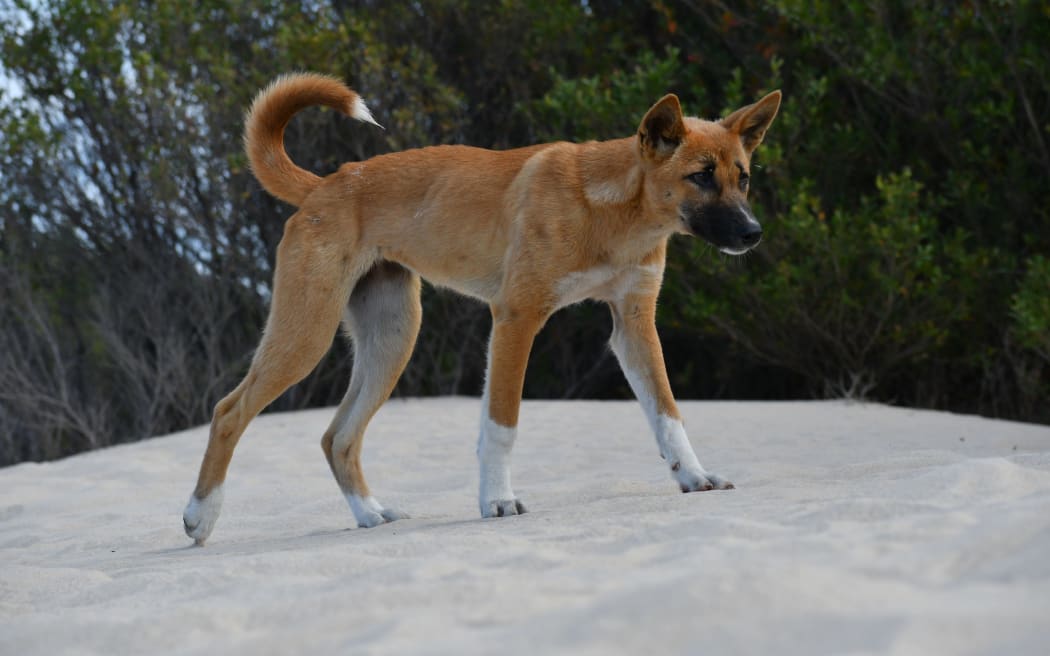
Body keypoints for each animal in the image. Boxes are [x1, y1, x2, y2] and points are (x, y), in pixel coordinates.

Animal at [182, 72, 781, 541]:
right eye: (700, 176)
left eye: (744, 178)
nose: (753, 235)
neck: (610, 208)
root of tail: (323, 185)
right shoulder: (516, 318)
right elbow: (502, 424)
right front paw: (497, 501)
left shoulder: (634, 325)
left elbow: (667, 414)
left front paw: (693, 477)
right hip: (307, 333)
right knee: (229, 412)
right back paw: (200, 516)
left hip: (392, 338)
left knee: (338, 437)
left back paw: (369, 513)